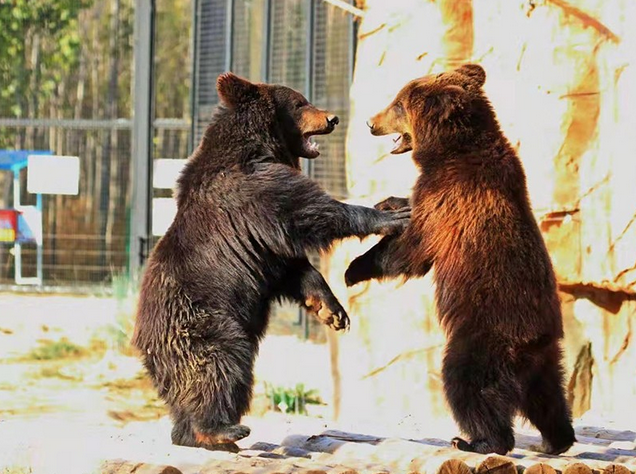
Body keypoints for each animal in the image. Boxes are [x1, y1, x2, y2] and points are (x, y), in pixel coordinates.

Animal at [132, 73, 410, 452]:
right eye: (301, 103)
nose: (332, 118)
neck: (260, 148)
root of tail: (143, 339)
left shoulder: (265, 248)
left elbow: (297, 271)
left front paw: (334, 312)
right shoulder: (258, 194)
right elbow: (311, 210)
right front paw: (393, 215)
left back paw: (196, 435)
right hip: (204, 321)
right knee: (219, 364)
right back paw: (222, 429)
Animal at [346, 63, 580, 456]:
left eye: (397, 104)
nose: (370, 122)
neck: (449, 150)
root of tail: (533, 341)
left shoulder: (449, 198)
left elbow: (412, 248)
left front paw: (354, 268)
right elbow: (409, 209)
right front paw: (389, 203)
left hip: (484, 332)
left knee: (468, 381)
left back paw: (477, 440)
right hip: (544, 358)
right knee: (548, 397)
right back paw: (555, 441)